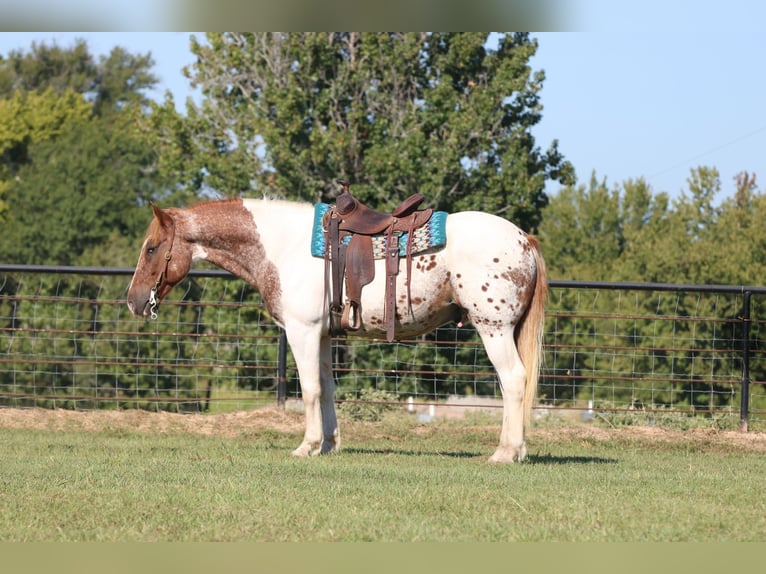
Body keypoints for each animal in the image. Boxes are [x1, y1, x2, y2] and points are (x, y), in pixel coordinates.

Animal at [126, 198, 548, 464]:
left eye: (151, 248)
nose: (133, 301)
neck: (283, 247)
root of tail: (524, 240)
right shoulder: (324, 335)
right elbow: (327, 390)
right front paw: (328, 444)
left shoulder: (303, 331)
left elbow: (310, 390)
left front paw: (307, 446)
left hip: (494, 328)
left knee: (514, 380)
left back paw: (504, 452)